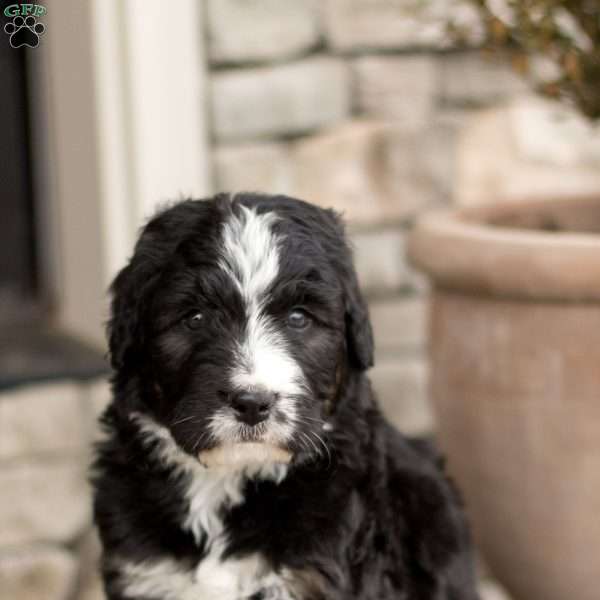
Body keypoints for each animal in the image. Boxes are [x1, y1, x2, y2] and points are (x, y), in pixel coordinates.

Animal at [91, 193, 480, 600]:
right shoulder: (143, 571)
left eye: (298, 318)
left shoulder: (310, 577)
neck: (227, 480)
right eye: (194, 318)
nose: (251, 403)